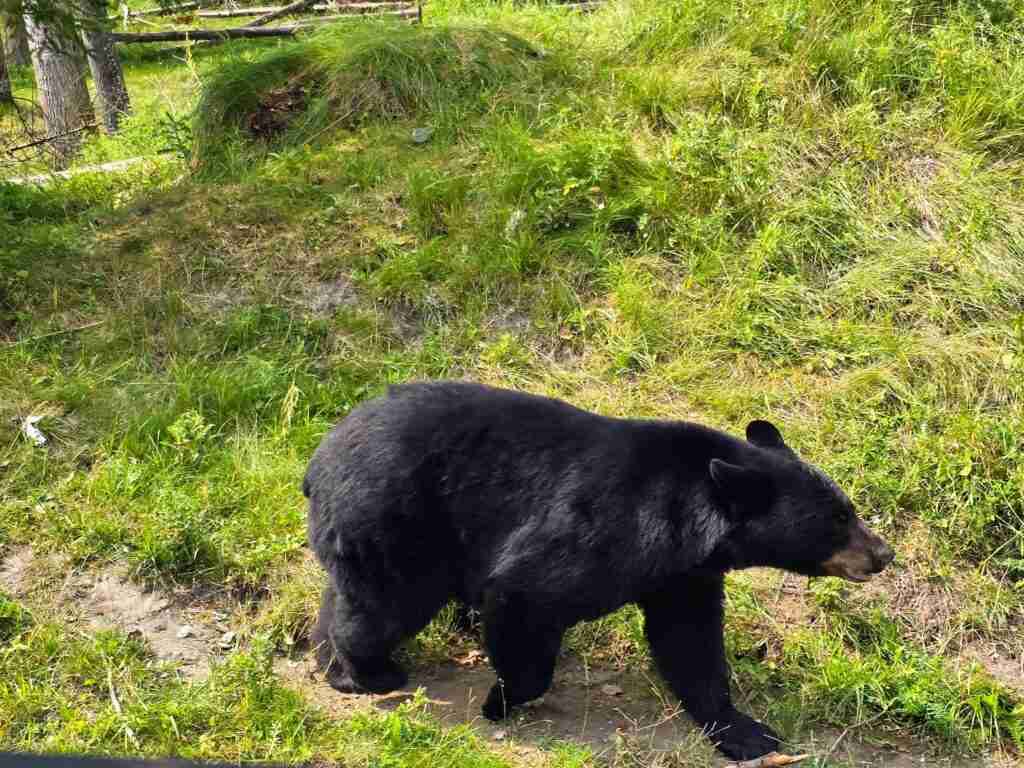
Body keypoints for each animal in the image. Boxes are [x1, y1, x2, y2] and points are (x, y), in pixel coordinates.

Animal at [304, 380, 894, 760]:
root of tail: (317, 461)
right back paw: (367, 673)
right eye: (838, 520)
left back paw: (331, 662)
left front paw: (747, 733)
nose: (884, 554)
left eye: (848, 509)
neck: (688, 517)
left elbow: (691, 643)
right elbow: (525, 592)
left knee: (346, 595)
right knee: (384, 606)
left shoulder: (681, 574)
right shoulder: (602, 529)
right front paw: (501, 700)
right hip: (397, 523)